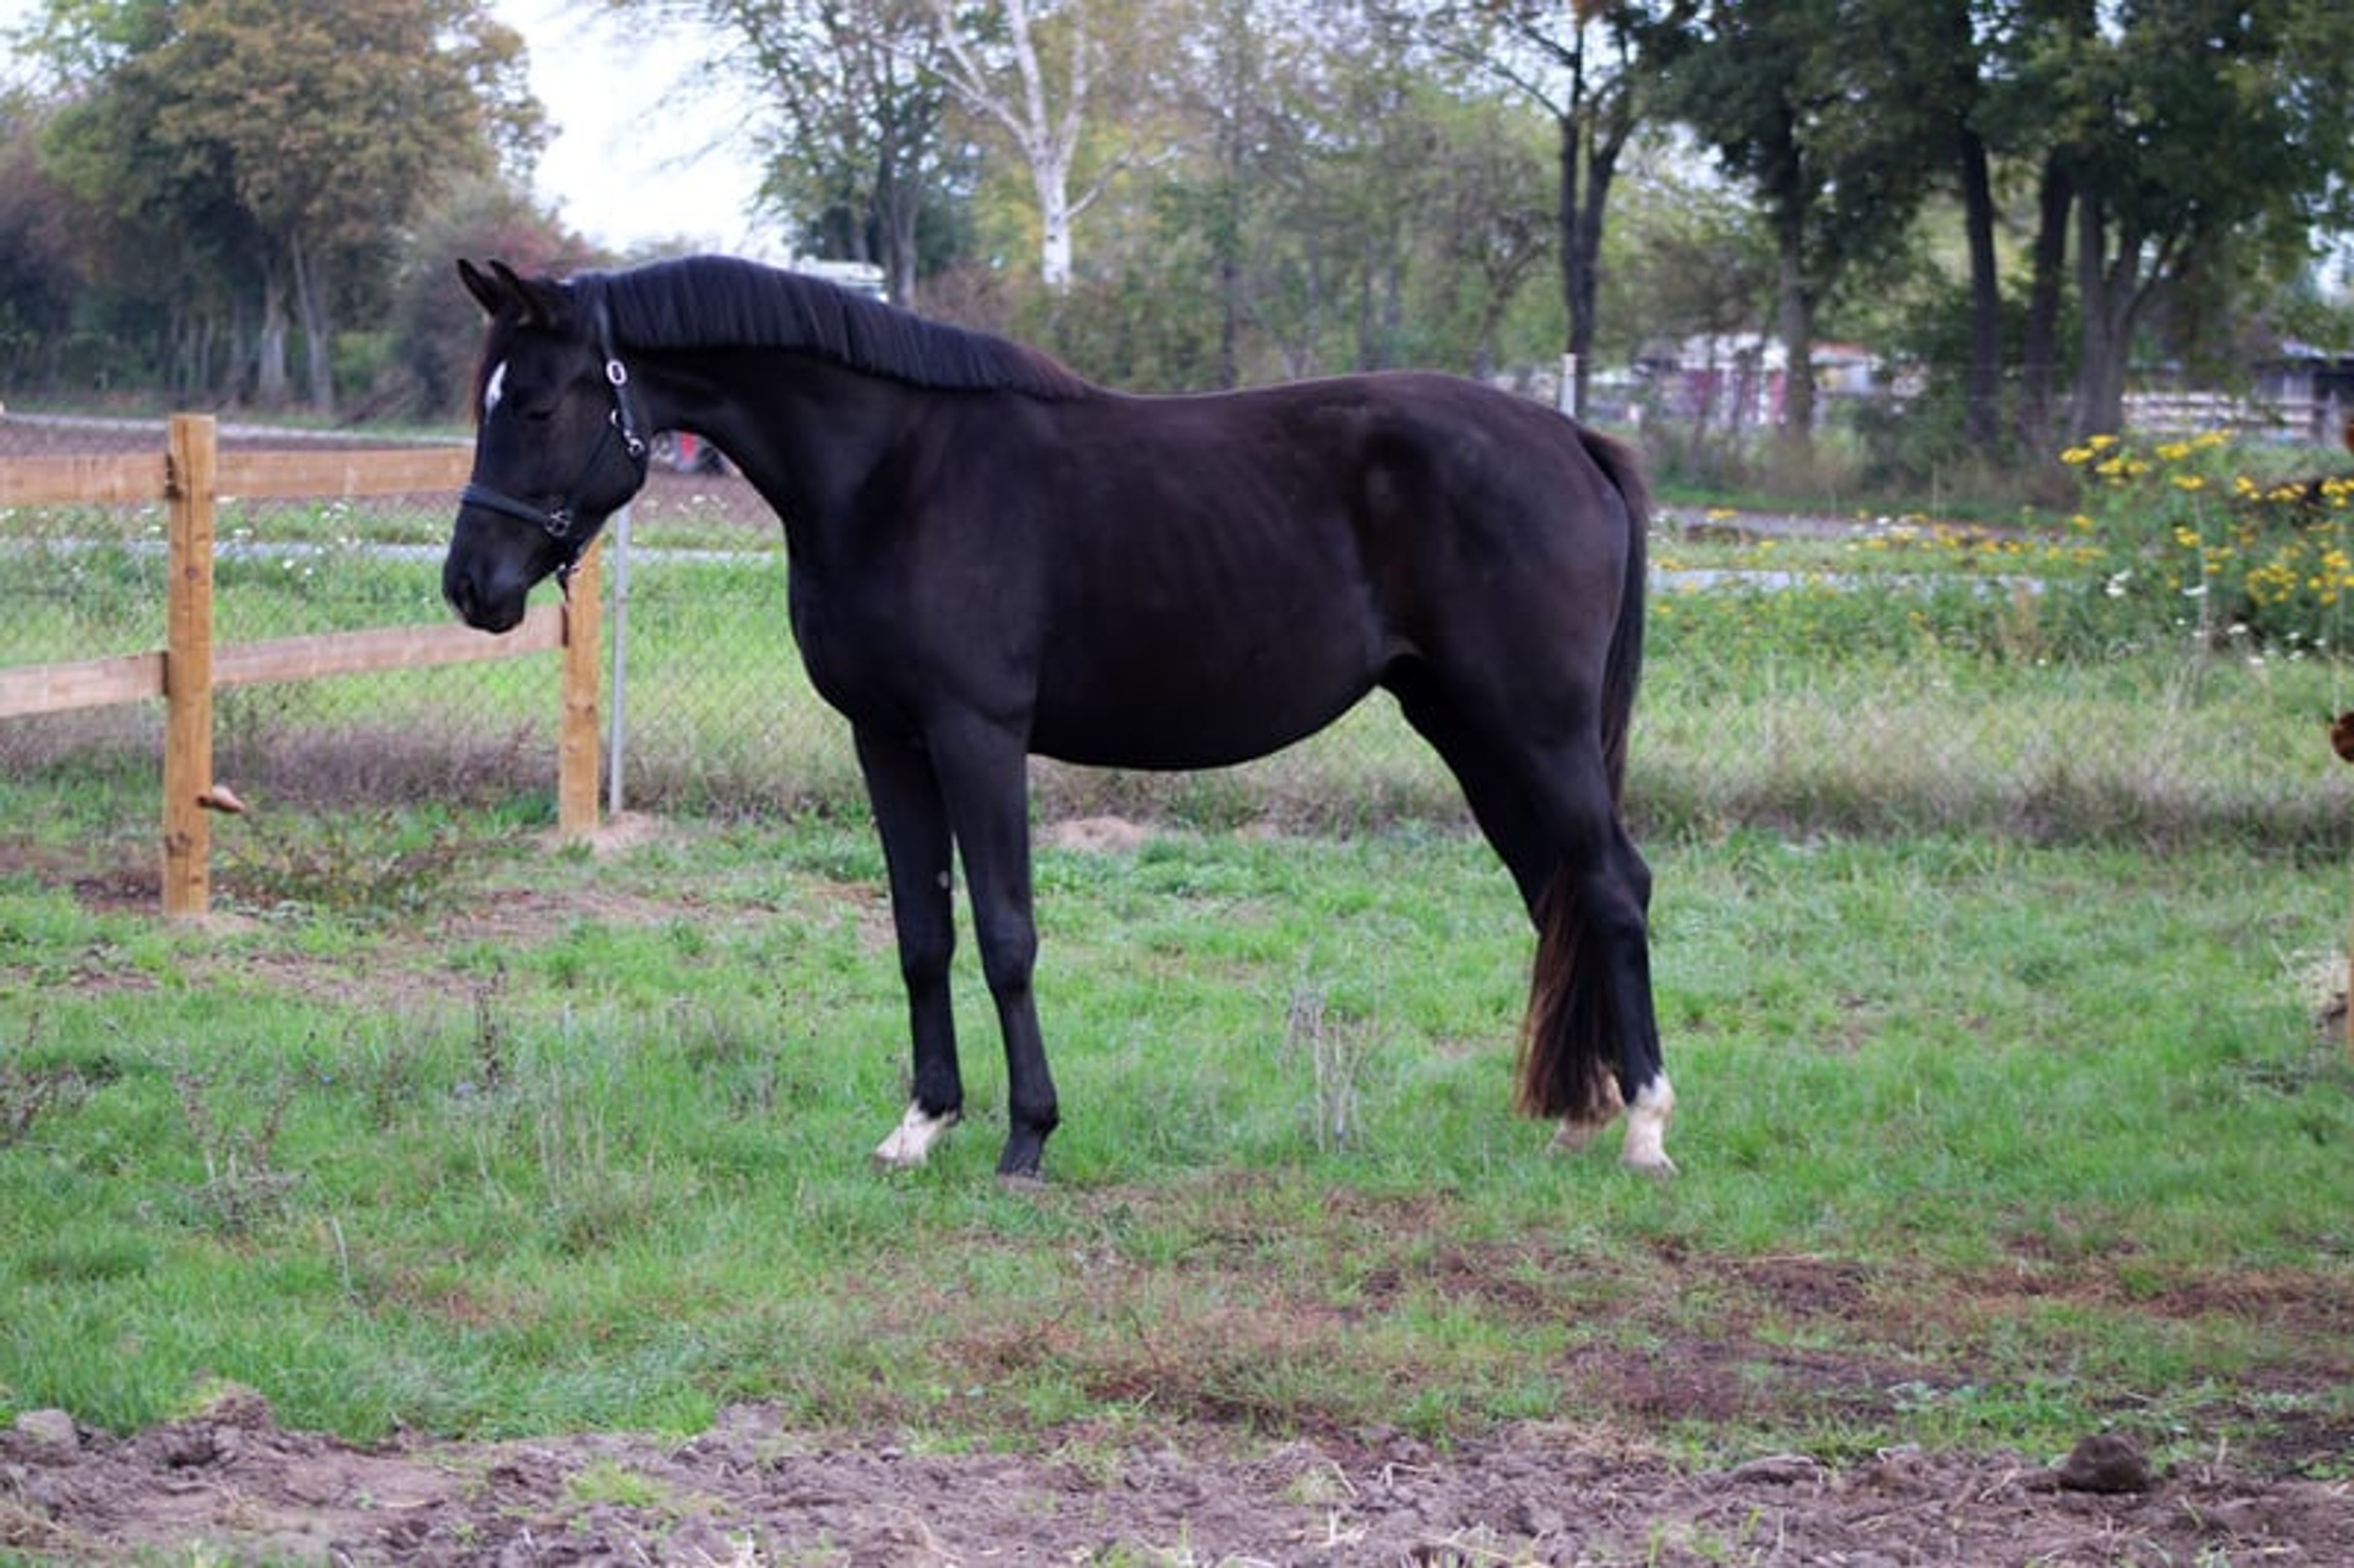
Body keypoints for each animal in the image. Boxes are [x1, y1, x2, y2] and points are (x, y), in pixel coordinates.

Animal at [442, 254, 1675, 1182]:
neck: (897, 472)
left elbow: (1006, 933)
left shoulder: (976, 733)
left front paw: (1027, 1135)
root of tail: (1572, 440)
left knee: (1613, 884)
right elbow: (922, 932)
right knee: (1556, 890)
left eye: (538, 404)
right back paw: (1586, 1109)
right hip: (1470, 728)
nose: (470, 587)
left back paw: (1648, 1125)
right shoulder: (886, 738)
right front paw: (921, 1124)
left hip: (1534, 729)